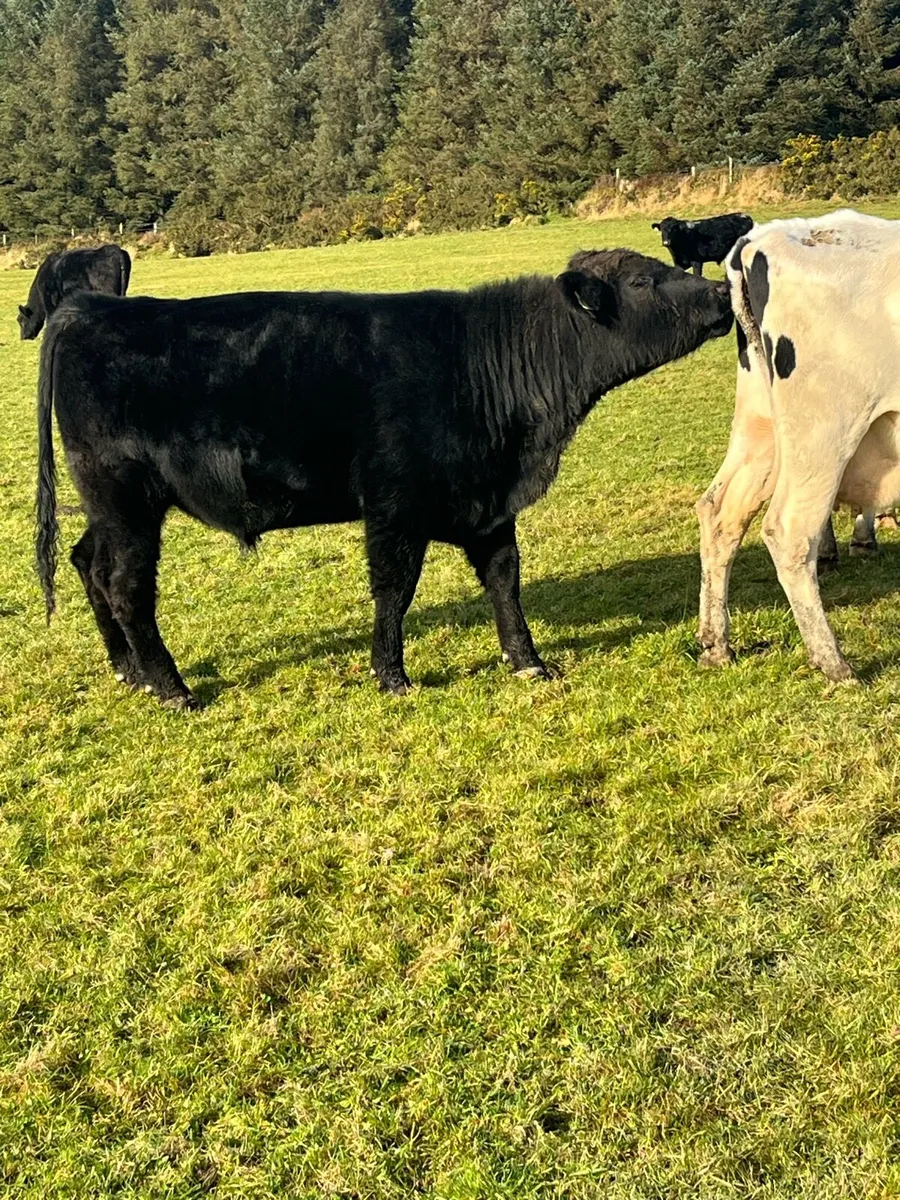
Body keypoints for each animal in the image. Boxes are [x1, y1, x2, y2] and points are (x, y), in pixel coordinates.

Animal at [35, 250, 732, 710]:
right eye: (643, 279)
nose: (724, 296)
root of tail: (87, 309)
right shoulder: (397, 505)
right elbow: (395, 590)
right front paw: (391, 676)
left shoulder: (488, 504)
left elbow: (504, 579)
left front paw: (528, 661)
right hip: (126, 499)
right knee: (125, 585)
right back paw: (172, 688)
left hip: (108, 507)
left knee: (88, 563)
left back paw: (127, 669)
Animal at [696, 209, 900, 682]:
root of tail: (757, 240)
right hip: (824, 430)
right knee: (789, 530)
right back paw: (834, 662)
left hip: (763, 426)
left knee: (720, 511)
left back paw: (716, 645)